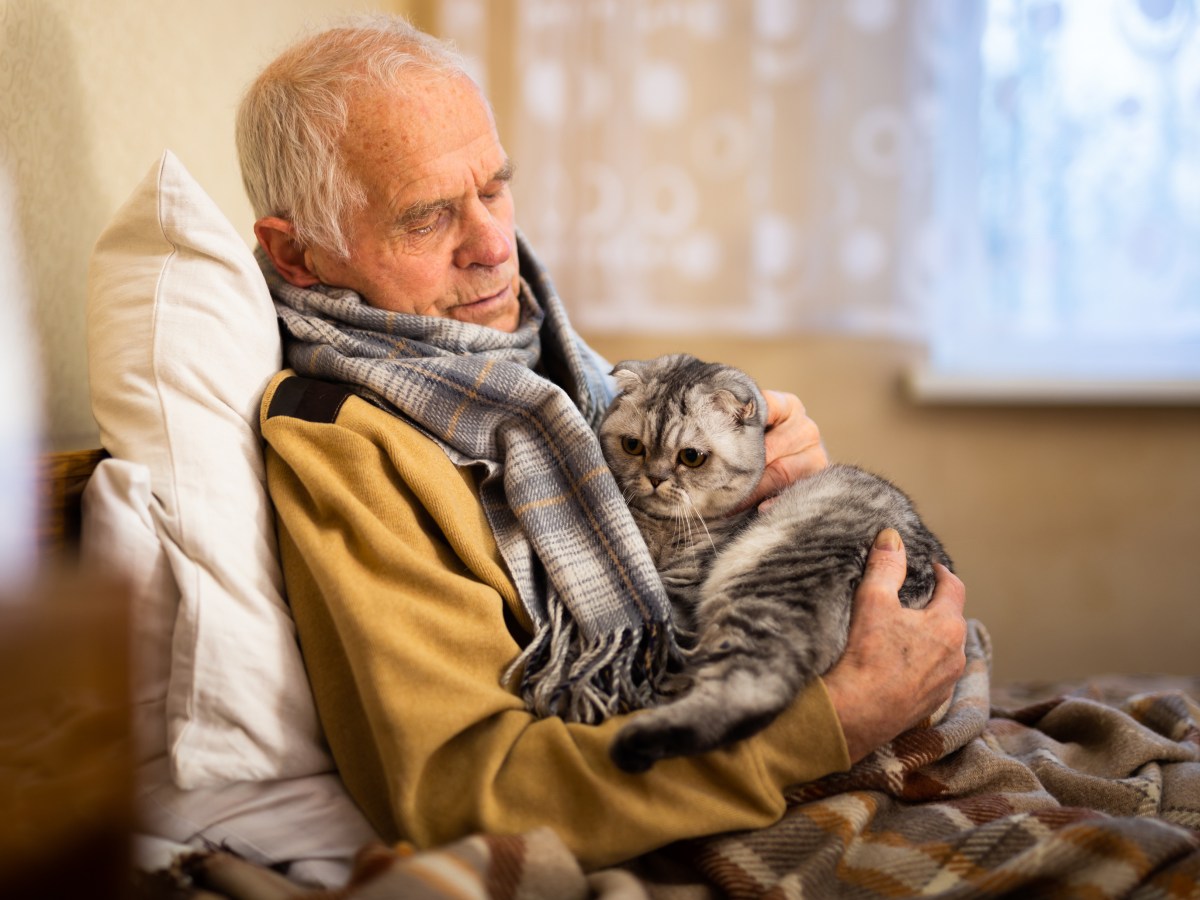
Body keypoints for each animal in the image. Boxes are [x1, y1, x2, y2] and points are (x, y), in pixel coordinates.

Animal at [595, 355, 950, 777]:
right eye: (632, 446)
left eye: (691, 457)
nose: (654, 478)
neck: (662, 528)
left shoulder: (682, 591)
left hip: (763, 587)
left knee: (751, 692)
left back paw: (636, 743)